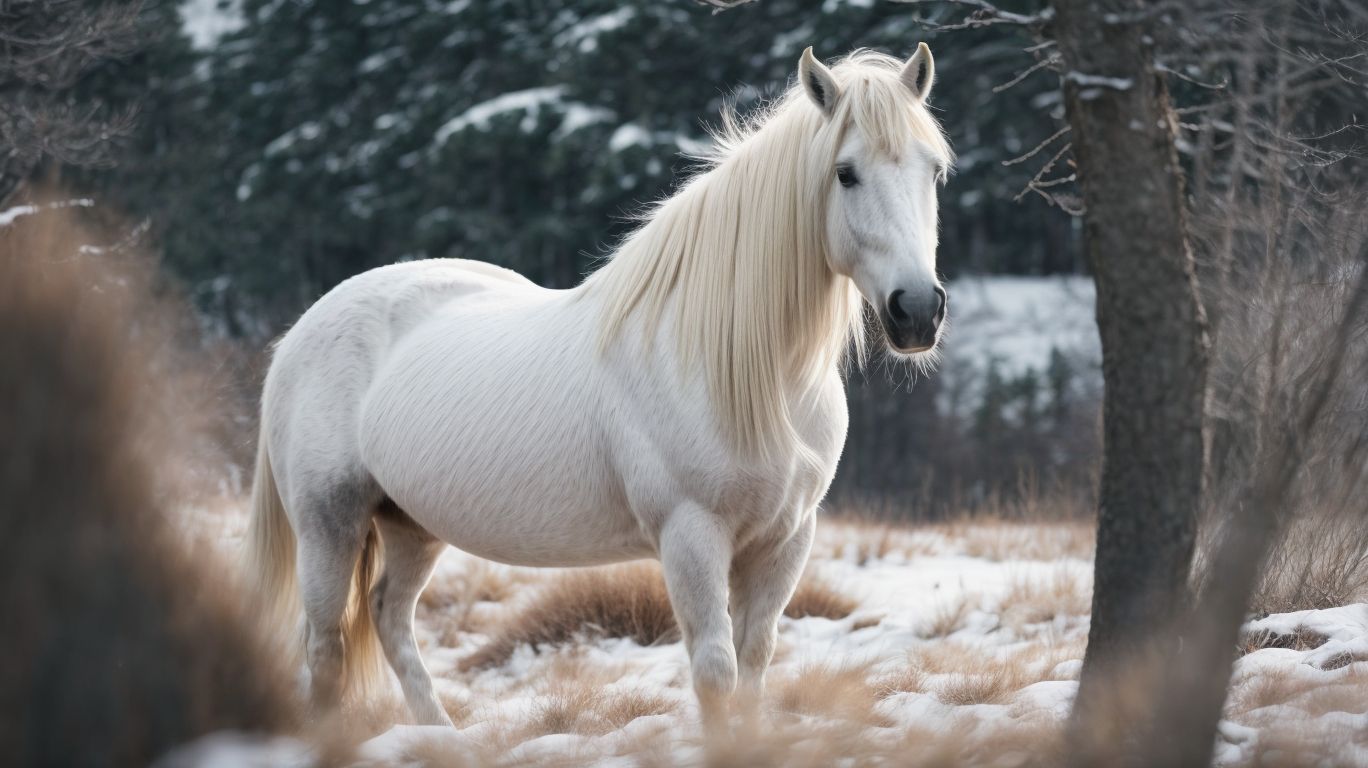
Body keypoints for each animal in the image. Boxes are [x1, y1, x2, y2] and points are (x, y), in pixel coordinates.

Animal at [244, 45, 953, 731]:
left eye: (933, 171)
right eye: (845, 173)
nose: (917, 310)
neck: (745, 370)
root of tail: (304, 330)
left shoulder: (786, 539)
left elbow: (754, 665)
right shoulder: (691, 536)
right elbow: (716, 673)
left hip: (412, 524)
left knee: (389, 615)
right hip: (329, 524)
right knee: (326, 647)